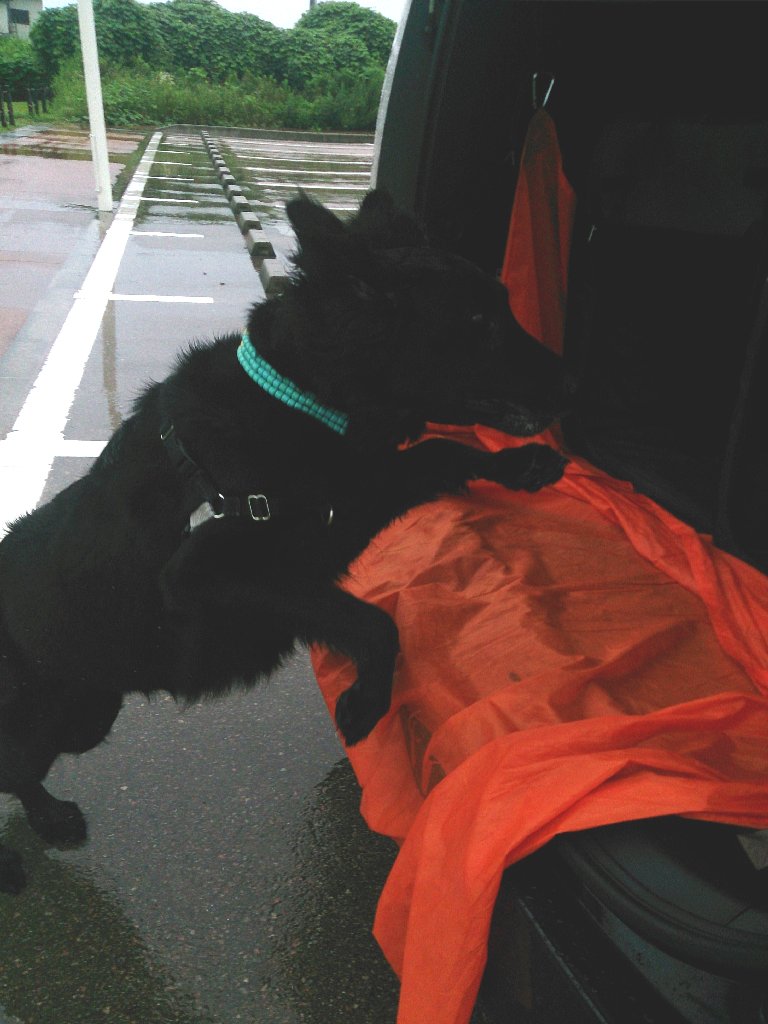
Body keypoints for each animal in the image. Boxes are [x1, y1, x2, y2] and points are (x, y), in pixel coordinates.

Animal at [0, 190, 568, 893]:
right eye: (476, 320)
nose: (572, 380)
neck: (300, 397)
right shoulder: (219, 573)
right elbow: (375, 621)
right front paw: (366, 702)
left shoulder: (348, 503)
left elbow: (440, 451)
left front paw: (523, 467)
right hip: (49, 718)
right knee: (15, 770)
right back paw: (35, 834)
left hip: (88, 710)